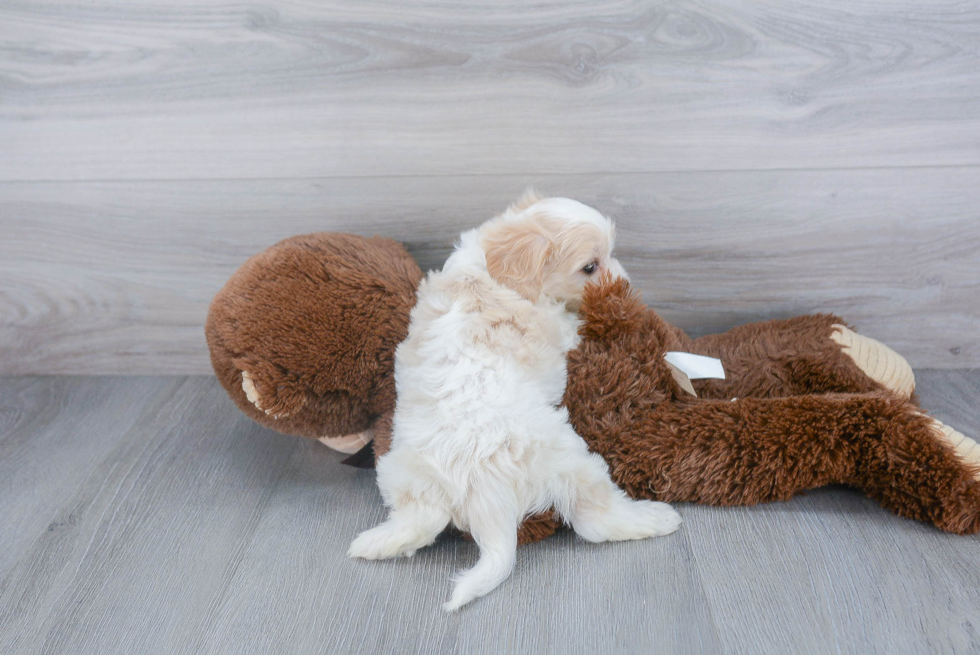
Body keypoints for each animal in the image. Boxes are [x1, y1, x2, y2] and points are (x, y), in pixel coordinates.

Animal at [346, 192, 680, 612]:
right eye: (590, 267)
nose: (626, 283)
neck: (494, 265)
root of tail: (485, 499)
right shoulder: (558, 325)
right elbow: (573, 325)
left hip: (402, 472)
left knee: (420, 521)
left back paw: (373, 544)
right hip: (571, 459)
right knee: (595, 518)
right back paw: (655, 518)